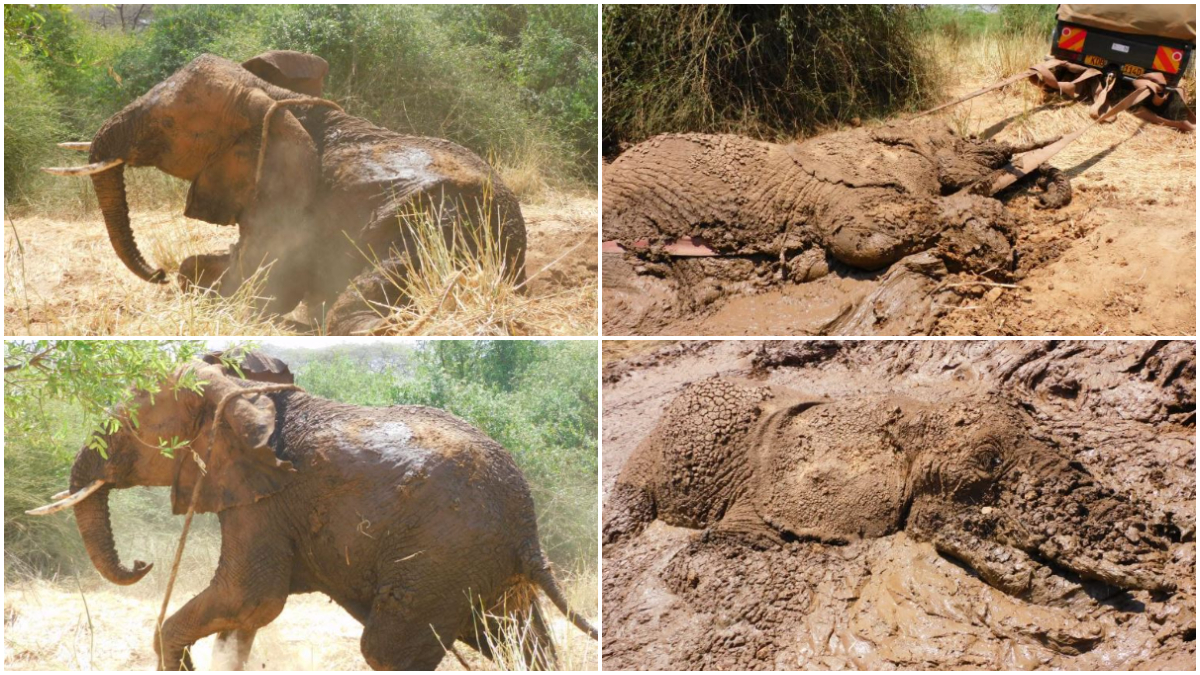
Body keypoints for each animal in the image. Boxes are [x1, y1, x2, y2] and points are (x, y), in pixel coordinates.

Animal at [27, 351, 595, 670]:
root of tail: (526, 522)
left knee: (387, 651)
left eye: (128, 427)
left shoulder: (265, 498)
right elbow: (244, 615)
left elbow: (250, 595)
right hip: (480, 563)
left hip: (443, 551)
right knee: (516, 639)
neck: (246, 391)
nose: (142, 563)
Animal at [44, 51, 527, 335]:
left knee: (351, 308)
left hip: (431, 228)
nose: (154, 272)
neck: (273, 97)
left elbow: (256, 285)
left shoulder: (291, 200)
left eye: (165, 125)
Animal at [603, 377, 1178, 600]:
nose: (1168, 537)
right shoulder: (762, 492)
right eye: (987, 463)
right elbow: (716, 552)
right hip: (646, 454)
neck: (910, 416)